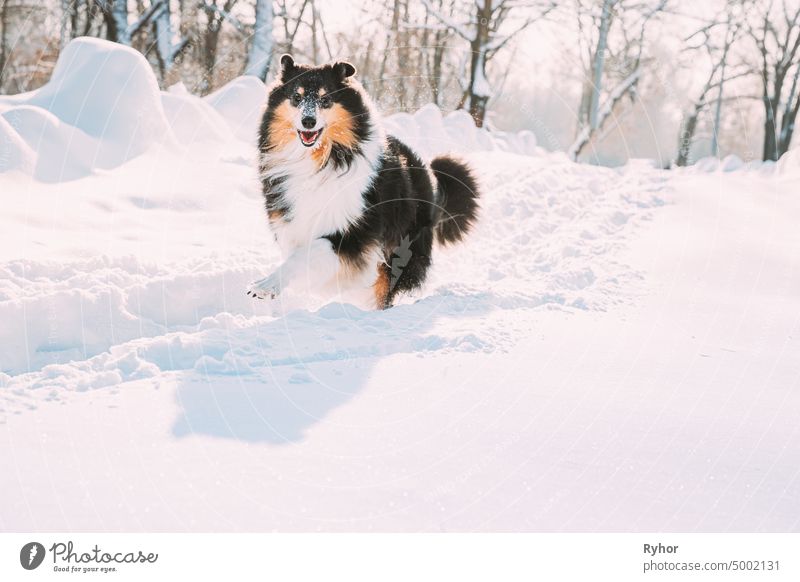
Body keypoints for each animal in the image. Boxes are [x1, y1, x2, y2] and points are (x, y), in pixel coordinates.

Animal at [247, 54, 478, 310]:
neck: (320, 161)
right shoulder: (294, 226)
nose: (308, 121)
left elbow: (309, 253)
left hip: (402, 248)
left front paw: (265, 286)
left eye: (325, 99)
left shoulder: (354, 235)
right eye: (296, 97)